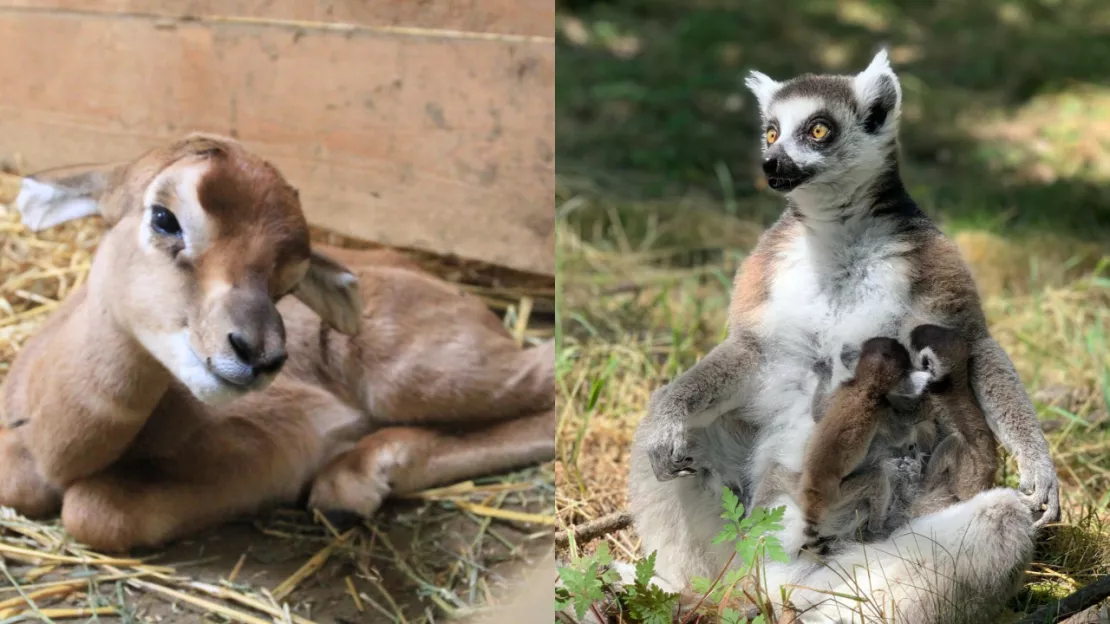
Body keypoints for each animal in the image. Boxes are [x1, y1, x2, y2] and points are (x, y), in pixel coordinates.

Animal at [0, 132, 555, 548]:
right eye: (163, 217)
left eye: (290, 279)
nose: (257, 354)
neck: (54, 448)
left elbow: (94, 509)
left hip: (413, 376)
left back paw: (349, 484)